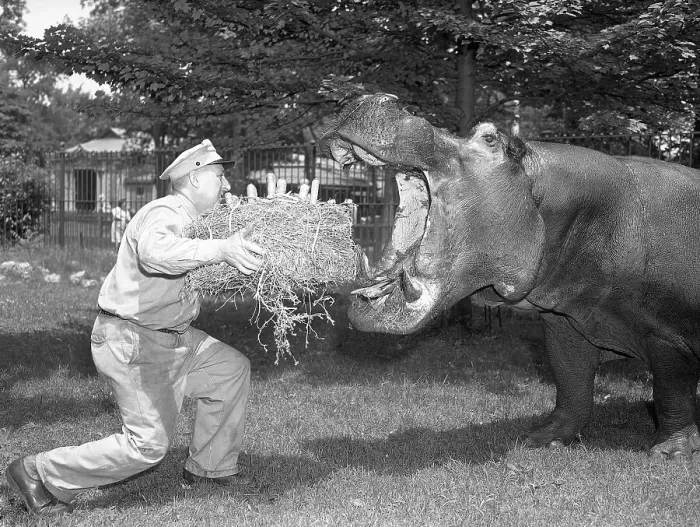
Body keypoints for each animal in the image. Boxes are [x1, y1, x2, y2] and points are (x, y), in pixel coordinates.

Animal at [319, 93, 700, 459]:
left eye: (489, 138)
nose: (377, 97)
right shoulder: (564, 324)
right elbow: (571, 383)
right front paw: (541, 440)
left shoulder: (666, 335)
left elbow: (671, 392)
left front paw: (669, 452)